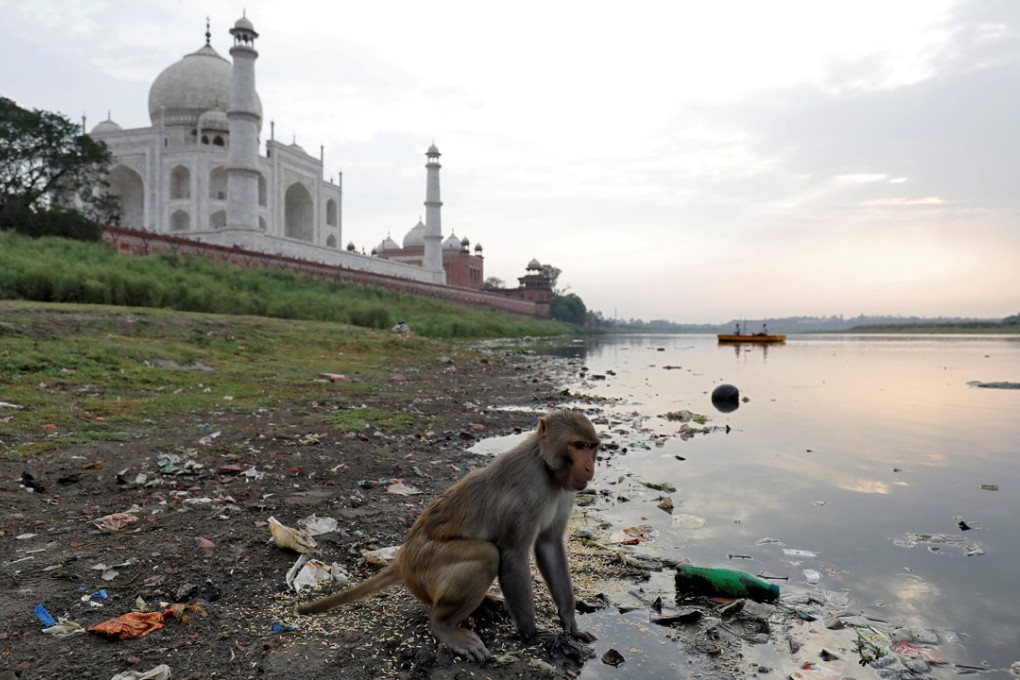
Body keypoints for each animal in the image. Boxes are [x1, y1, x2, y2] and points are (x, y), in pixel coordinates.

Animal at [297, 409, 601, 662]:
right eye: (578, 446)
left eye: (592, 447)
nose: (590, 468)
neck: (546, 468)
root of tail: (403, 558)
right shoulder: (525, 496)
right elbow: (513, 554)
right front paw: (533, 634)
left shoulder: (565, 492)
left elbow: (549, 546)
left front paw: (570, 624)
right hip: (424, 566)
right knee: (487, 555)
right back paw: (443, 625)